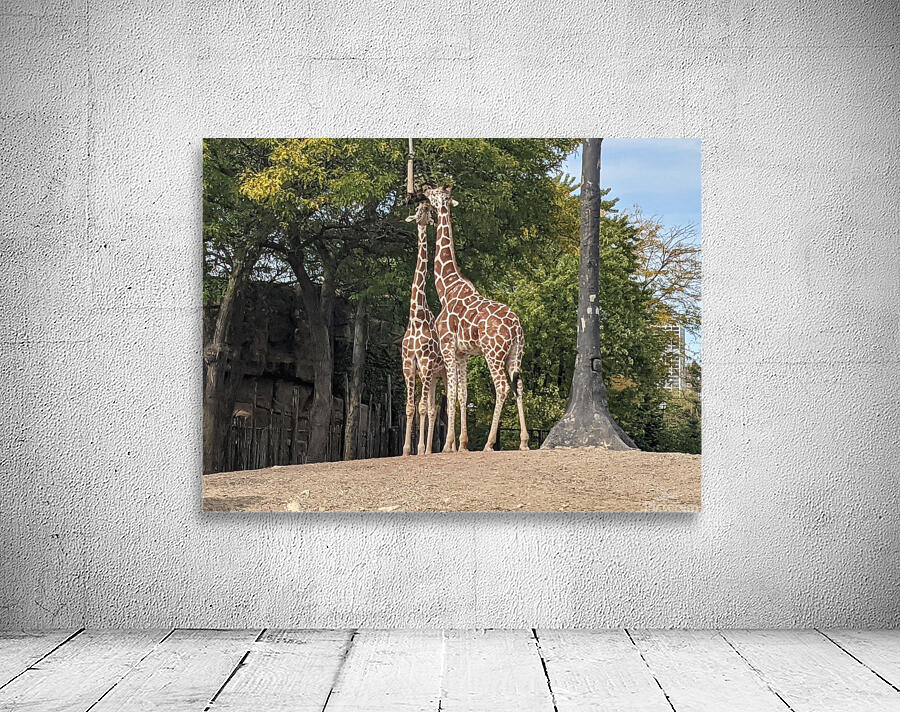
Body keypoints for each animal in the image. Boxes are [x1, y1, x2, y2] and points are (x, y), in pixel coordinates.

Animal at [425, 186, 529, 452]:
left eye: (435, 193)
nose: (424, 190)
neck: (445, 287)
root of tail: (516, 327)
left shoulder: (448, 346)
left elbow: (451, 394)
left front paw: (448, 445)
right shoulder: (463, 353)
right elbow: (463, 395)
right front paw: (461, 444)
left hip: (493, 353)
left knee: (502, 386)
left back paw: (489, 443)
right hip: (515, 354)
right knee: (519, 386)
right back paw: (524, 441)